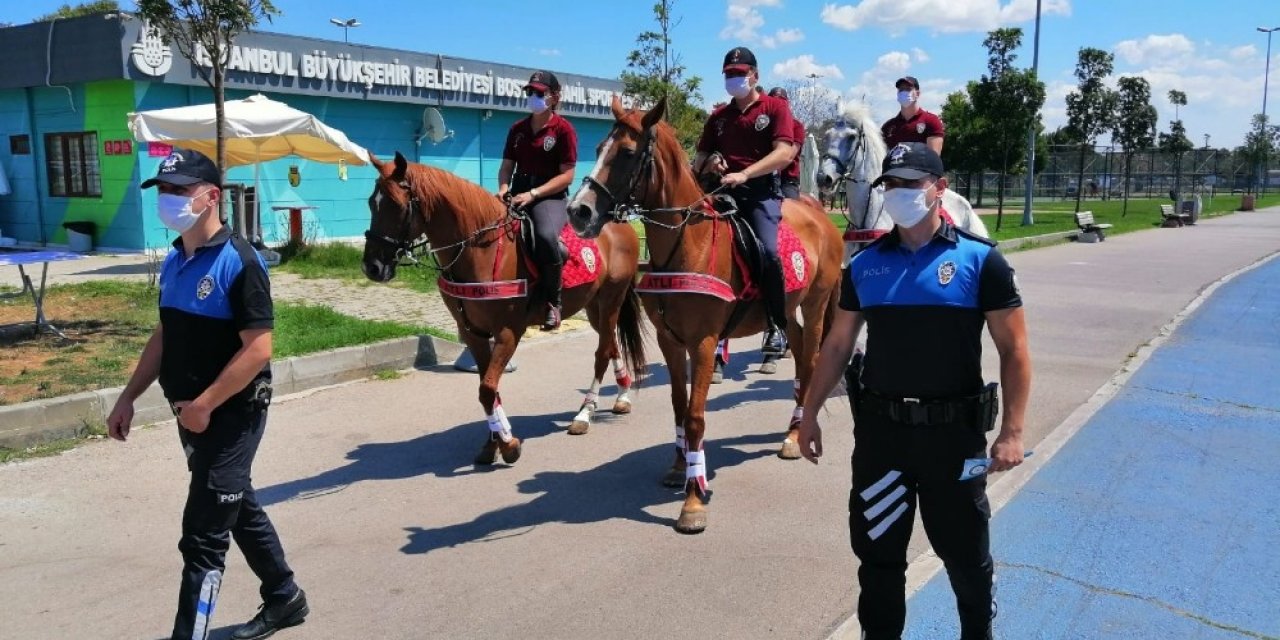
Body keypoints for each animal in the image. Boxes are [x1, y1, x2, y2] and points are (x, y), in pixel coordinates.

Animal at [366, 152, 650, 465]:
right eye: (370, 203)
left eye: (397, 205)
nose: (372, 266)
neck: (480, 249)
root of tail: (620, 223)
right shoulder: (473, 333)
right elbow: (488, 390)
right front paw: (494, 443)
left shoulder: (508, 332)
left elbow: (488, 388)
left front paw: (508, 444)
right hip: (594, 307)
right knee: (611, 345)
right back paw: (622, 396)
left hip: (611, 299)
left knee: (602, 354)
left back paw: (584, 415)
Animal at [565, 96, 844, 535]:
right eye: (596, 149)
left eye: (626, 153)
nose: (579, 211)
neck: (686, 244)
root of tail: (820, 217)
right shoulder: (670, 341)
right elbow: (679, 407)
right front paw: (680, 468)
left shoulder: (704, 343)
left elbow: (696, 417)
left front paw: (693, 501)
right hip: (787, 310)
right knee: (800, 353)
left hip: (815, 306)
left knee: (812, 363)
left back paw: (792, 436)